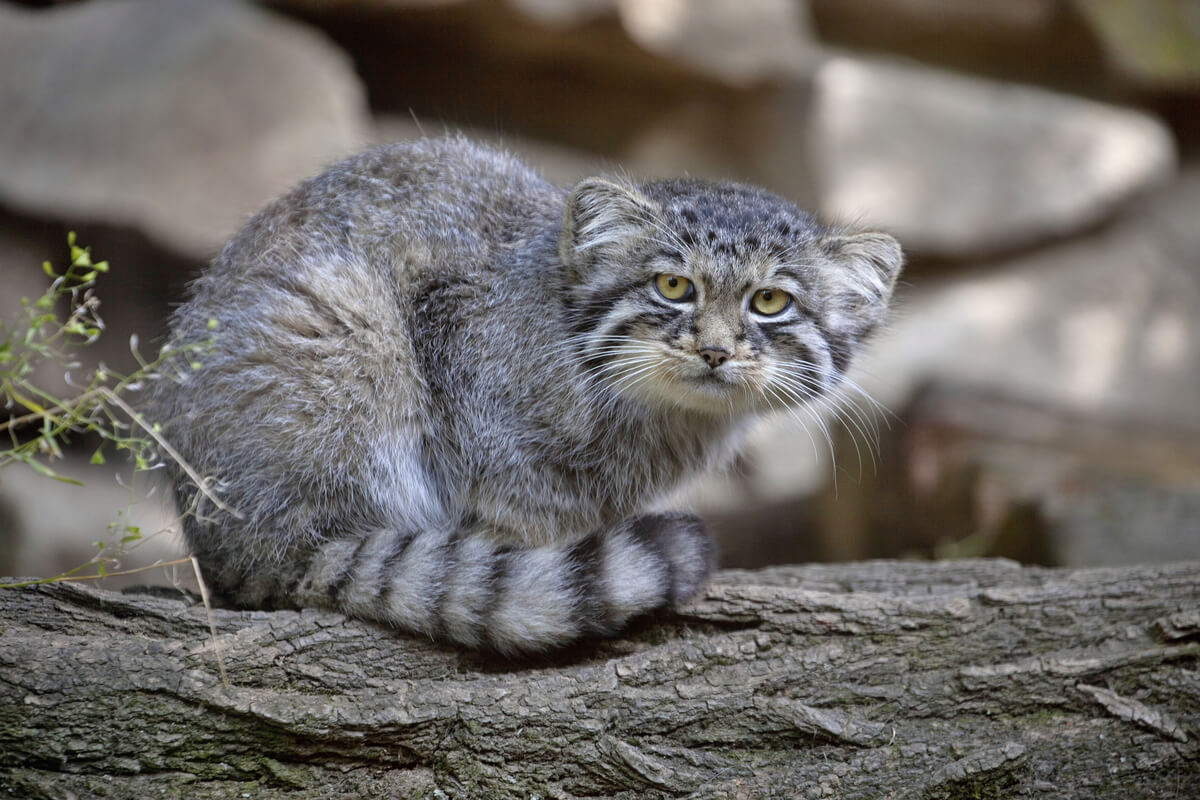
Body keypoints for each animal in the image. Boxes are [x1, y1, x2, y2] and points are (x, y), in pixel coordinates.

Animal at [147, 137, 902, 657]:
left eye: (771, 301)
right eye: (673, 287)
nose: (715, 350)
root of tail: (229, 549)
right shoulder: (456, 345)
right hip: (347, 332)